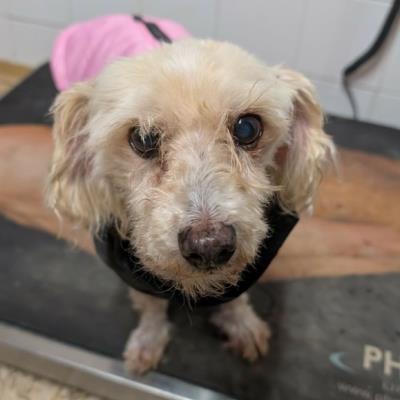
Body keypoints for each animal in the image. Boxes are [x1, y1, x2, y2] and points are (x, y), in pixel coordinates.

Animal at [46, 38, 335, 373]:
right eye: (142, 138)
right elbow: (151, 307)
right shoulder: (136, 274)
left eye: (248, 128)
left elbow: (236, 295)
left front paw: (243, 325)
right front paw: (148, 341)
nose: (209, 246)